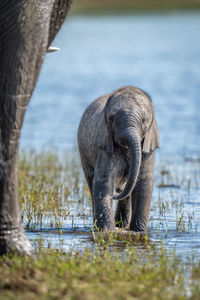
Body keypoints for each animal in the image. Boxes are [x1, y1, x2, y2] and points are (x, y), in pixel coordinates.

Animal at [78, 86, 159, 232]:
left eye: (144, 121)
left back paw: (121, 225)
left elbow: (143, 181)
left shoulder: (148, 148)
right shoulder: (105, 145)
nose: (114, 195)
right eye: (111, 119)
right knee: (92, 182)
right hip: (83, 153)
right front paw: (107, 231)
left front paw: (138, 231)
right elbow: (104, 180)